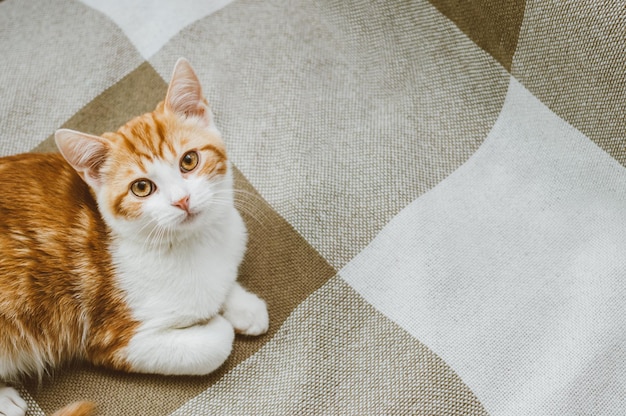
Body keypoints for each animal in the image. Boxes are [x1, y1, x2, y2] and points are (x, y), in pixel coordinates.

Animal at [0, 58, 266, 416]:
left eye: (189, 160)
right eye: (141, 187)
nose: (181, 200)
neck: (191, 243)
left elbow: (222, 284)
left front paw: (243, 307)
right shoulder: (111, 339)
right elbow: (215, 345)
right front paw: (214, 320)